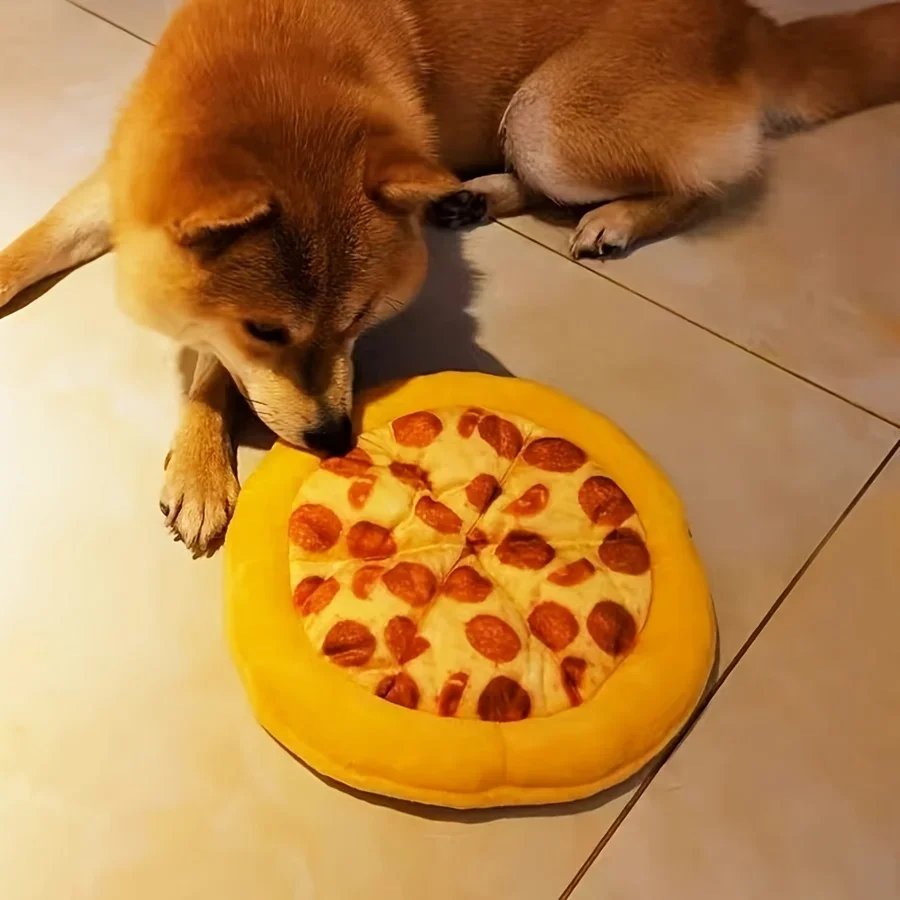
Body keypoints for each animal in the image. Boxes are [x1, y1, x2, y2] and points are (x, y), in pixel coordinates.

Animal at [1, 0, 900, 552]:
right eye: (268, 328)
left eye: (362, 321)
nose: (335, 438)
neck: (271, 53)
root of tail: (752, 22)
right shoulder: (119, 191)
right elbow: (38, 245)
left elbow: (213, 369)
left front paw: (197, 464)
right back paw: (469, 196)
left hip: (547, 116)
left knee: (706, 183)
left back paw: (614, 220)